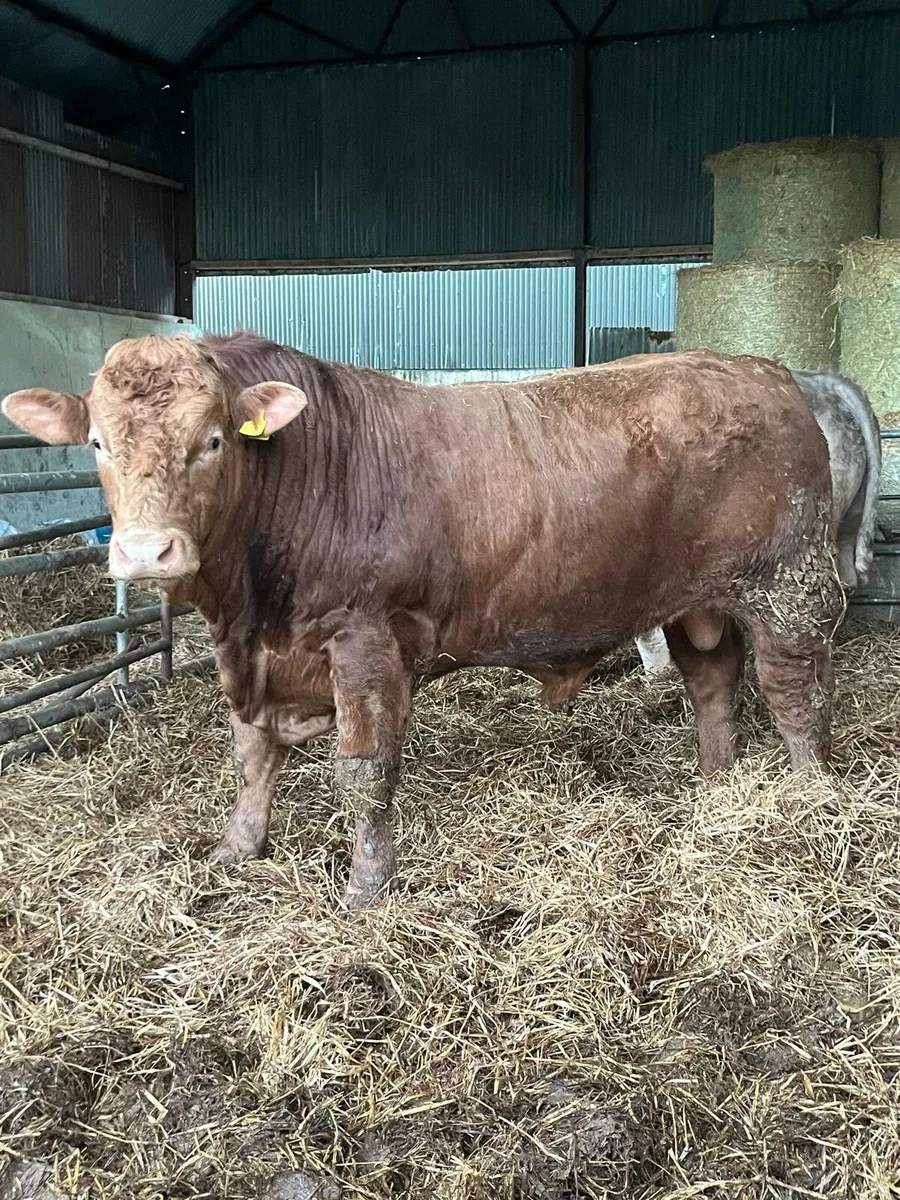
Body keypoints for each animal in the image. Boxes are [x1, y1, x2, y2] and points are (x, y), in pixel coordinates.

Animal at [2, 335, 844, 908]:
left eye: (211, 440)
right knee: (712, 680)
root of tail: (769, 373)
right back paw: (717, 783)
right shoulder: (249, 657)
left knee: (793, 690)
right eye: (98, 442)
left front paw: (366, 889)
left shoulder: (365, 642)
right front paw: (238, 849)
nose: (147, 551)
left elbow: (363, 771)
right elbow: (250, 754)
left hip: (788, 582)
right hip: (695, 600)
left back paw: (809, 797)